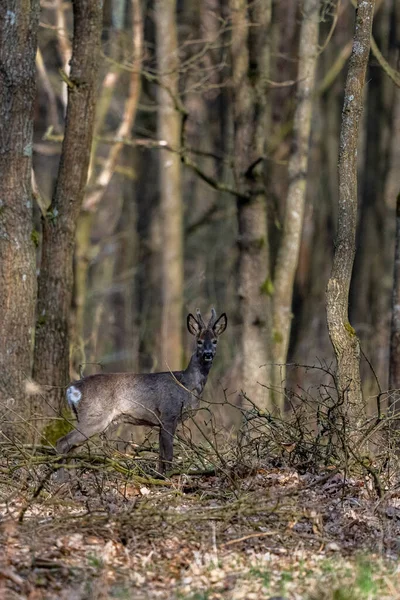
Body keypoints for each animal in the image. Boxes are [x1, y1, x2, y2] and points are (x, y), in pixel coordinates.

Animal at [55, 310, 228, 474]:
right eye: (199, 341)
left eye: (215, 341)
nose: (208, 354)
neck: (186, 385)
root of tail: (72, 389)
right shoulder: (169, 415)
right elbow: (168, 455)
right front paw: (169, 478)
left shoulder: (160, 423)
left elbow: (160, 456)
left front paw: (159, 476)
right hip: (94, 416)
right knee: (62, 442)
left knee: (72, 449)